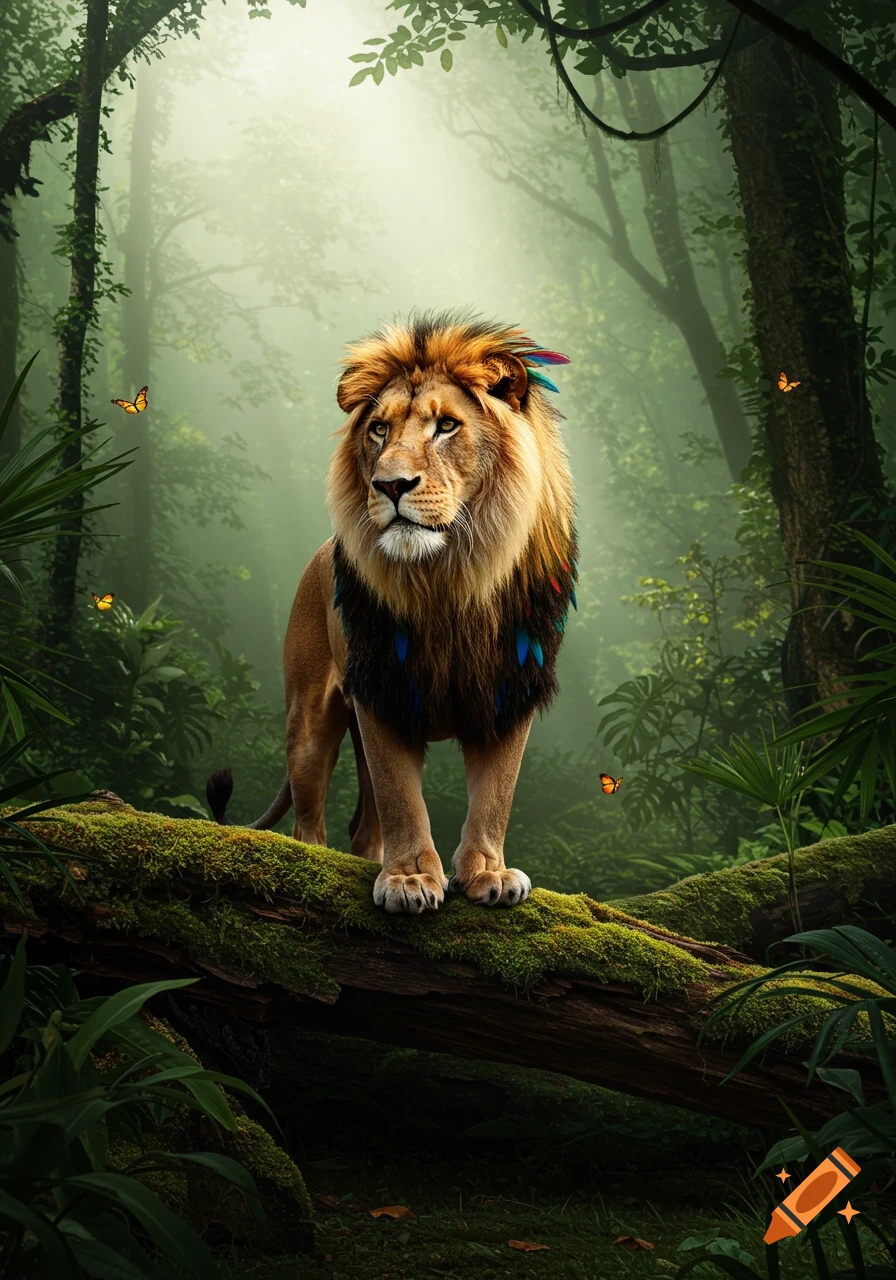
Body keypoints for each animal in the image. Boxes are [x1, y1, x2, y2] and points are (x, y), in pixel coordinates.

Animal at [206, 309, 578, 915]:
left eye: (447, 426)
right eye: (378, 430)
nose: (390, 484)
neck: (448, 578)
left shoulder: (508, 689)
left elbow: (495, 795)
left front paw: (487, 873)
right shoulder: (382, 689)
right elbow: (403, 797)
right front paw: (409, 879)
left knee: (363, 829)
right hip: (310, 720)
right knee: (309, 822)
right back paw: (316, 864)